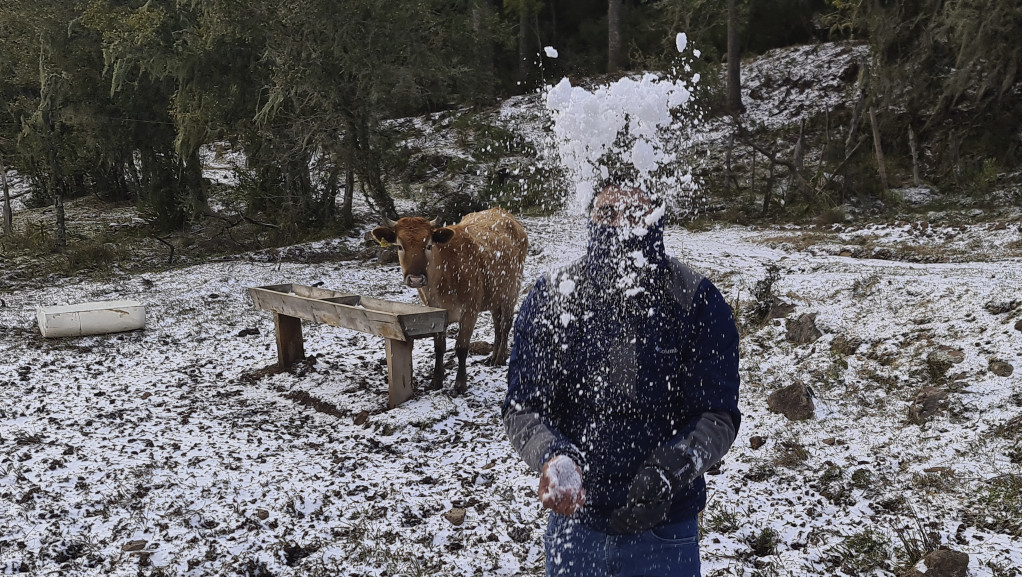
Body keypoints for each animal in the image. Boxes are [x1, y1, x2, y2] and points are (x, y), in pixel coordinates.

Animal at [369, 207, 527, 392]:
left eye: (429, 245)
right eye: (400, 246)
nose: (416, 279)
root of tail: (500, 211)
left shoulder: (470, 311)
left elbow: (461, 347)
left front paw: (460, 383)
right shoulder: (436, 314)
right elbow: (439, 348)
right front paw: (436, 381)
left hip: (511, 291)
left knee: (505, 324)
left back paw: (500, 357)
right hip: (495, 295)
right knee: (497, 324)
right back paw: (493, 356)